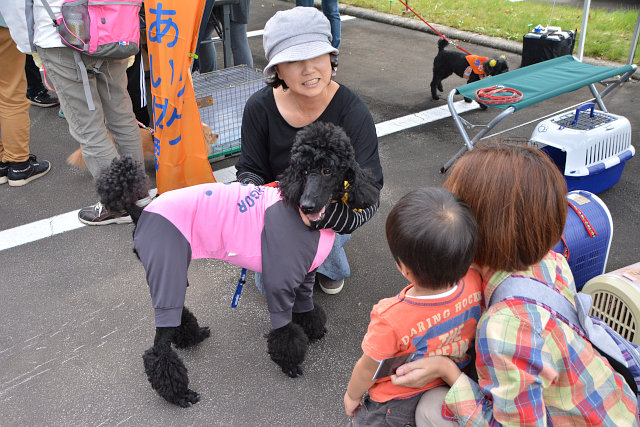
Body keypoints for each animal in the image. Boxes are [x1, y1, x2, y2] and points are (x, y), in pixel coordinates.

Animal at [96, 123, 380, 408]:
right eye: (302, 171)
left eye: (327, 170)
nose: (307, 205)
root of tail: (140, 212)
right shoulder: (280, 281)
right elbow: (284, 329)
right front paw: (289, 362)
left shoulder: (304, 275)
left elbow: (306, 307)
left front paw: (313, 329)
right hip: (165, 268)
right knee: (157, 349)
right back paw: (178, 392)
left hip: (172, 271)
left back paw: (192, 336)